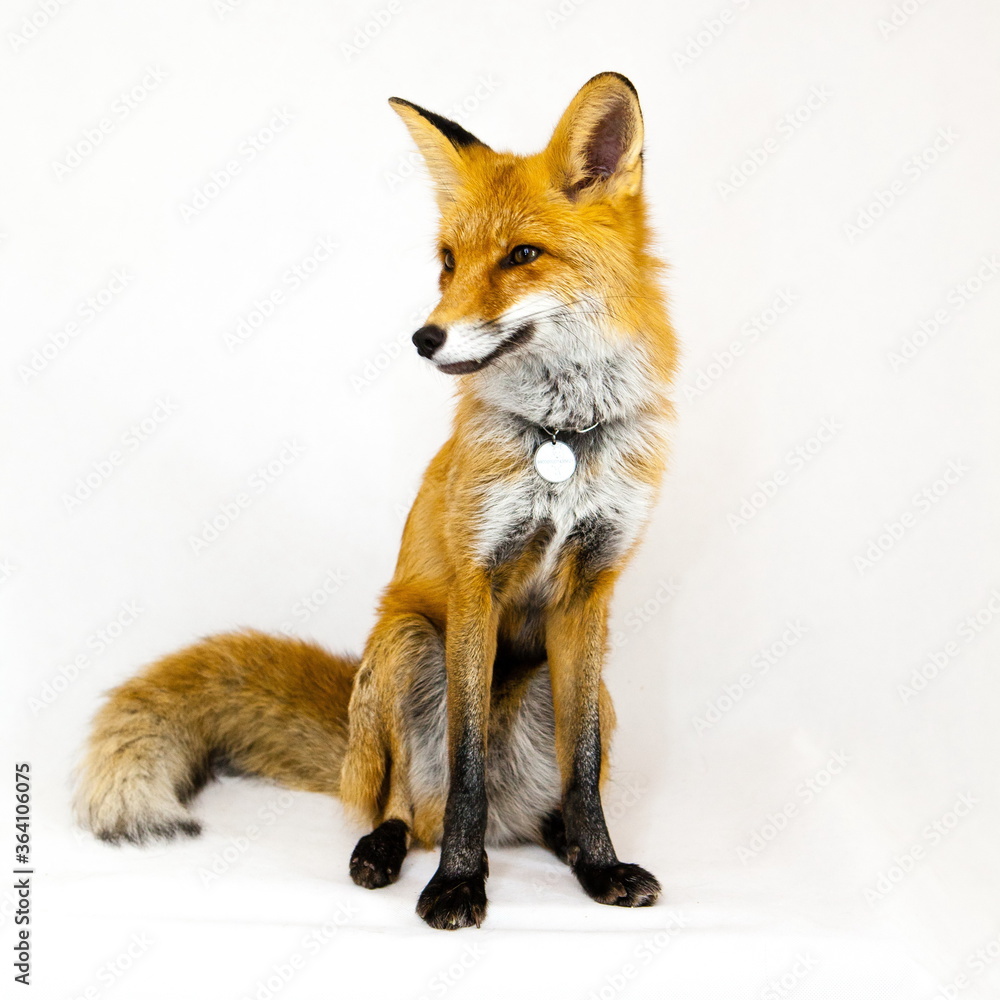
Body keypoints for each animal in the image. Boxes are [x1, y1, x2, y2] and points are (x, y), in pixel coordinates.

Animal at [74, 71, 678, 930]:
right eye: (449, 261)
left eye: (523, 255)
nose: (425, 339)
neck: (562, 437)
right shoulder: (474, 583)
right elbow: (463, 769)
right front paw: (458, 884)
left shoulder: (591, 591)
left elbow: (584, 767)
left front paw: (599, 866)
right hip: (403, 645)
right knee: (404, 802)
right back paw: (384, 849)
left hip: (586, 684)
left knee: (541, 799)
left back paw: (556, 840)